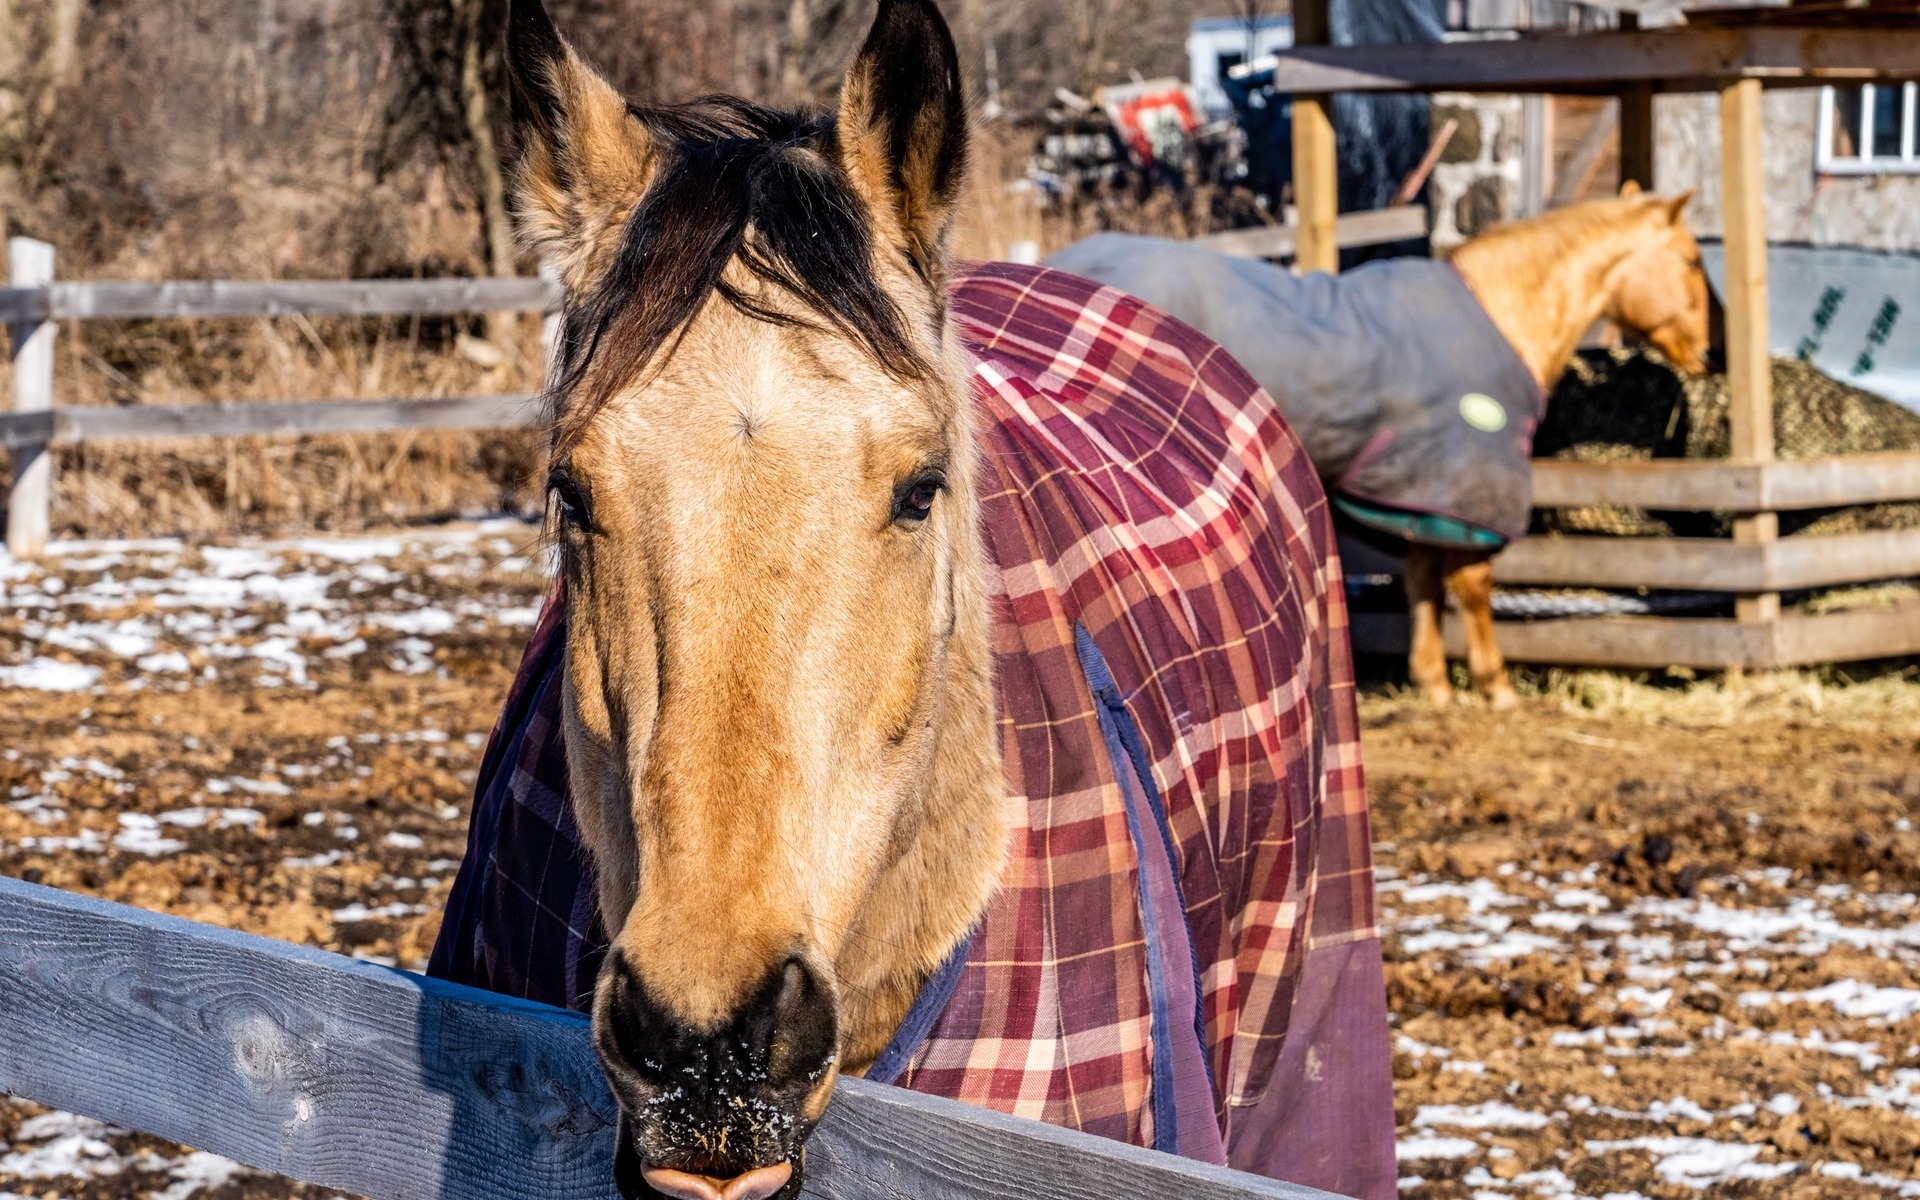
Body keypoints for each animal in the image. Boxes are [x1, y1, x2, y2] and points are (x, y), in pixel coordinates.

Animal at [1052, 191, 1712, 706]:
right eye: (1691, 258)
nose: (1705, 354)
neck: (1504, 313)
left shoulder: (1425, 487)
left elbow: (1421, 577)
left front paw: (1433, 682)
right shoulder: (1469, 479)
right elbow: (1471, 584)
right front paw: (1494, 685)